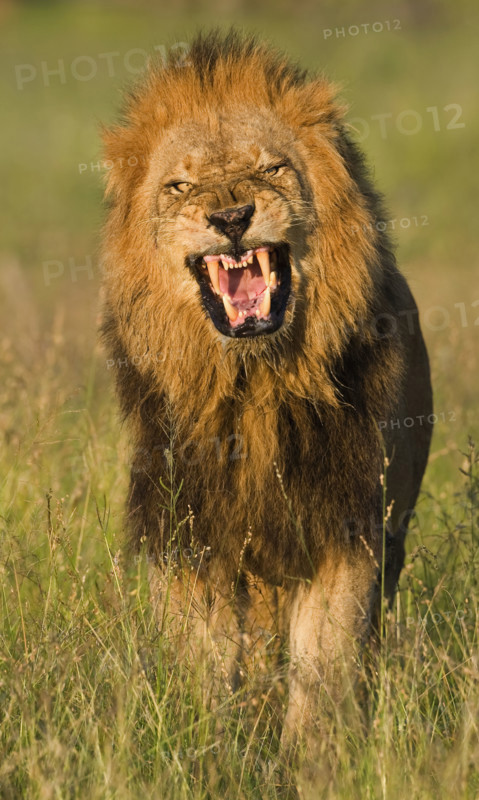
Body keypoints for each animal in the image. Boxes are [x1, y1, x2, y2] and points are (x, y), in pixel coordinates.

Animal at [100, 30, 433, 748]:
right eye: (181, 185)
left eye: (273, 170)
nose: (230, 215)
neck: (254, 384)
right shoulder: (189, 534)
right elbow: (204, 666)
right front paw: (210, 748)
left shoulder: (347, 527)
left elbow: (323, 665)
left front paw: (315, 756)